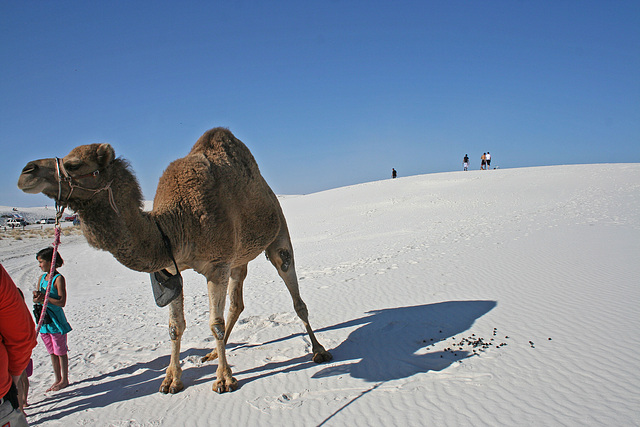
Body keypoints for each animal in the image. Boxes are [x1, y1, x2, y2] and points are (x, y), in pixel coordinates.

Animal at [17, 126, 332, 394]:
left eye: (73, 165)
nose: (26, 171)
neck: (172, 225)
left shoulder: (217, 266)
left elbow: (214, 323)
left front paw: (224, 380)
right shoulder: (170, 268)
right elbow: (175, 326)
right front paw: (171, 380)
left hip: (278, 232)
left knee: (293, 290)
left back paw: (318, 350)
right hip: (239, 258)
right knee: (237, 302)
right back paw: (212, 353)